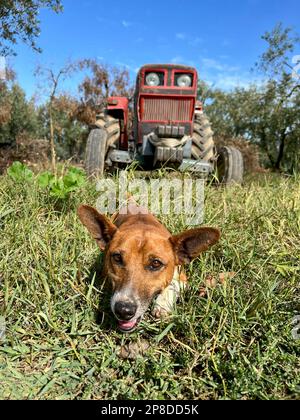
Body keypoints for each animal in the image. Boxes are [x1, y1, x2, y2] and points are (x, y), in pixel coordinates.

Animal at [78, 202, 220, 334]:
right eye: (117, 258)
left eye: (156, 263)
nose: (124, 311)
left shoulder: (181, 276)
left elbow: (173, 284)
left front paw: (162, 304)